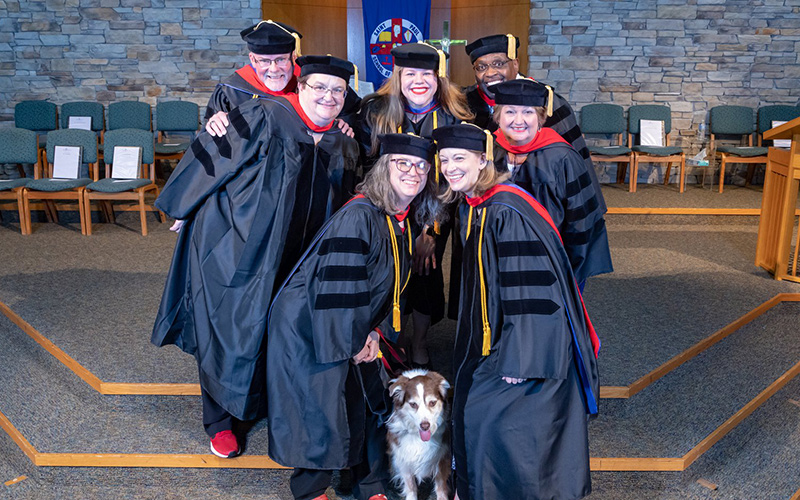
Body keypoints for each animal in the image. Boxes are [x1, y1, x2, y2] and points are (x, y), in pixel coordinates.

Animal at [388, 368, 450, 500]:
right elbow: (410, 485)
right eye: (413, 404)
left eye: (432, 403)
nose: (425, 426)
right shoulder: (403, 458)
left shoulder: (442, 456)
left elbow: (441, 486)